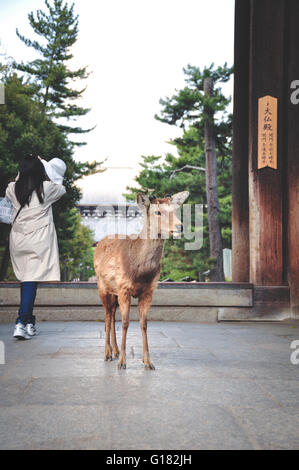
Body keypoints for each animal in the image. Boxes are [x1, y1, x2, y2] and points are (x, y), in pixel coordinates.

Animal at [95, 189, 190, 370]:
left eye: (175, 210)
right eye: (157, 212)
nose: (180, 227)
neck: (140, 272)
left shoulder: (148, 291)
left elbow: (144, 323)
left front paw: (148, 362)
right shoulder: (124, 288)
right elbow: (125, 323)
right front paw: (122, 362)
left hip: (114, 293)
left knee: (112, 314)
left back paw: (115, 351)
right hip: (102, 287)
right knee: (107, 317)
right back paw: (108, 353)